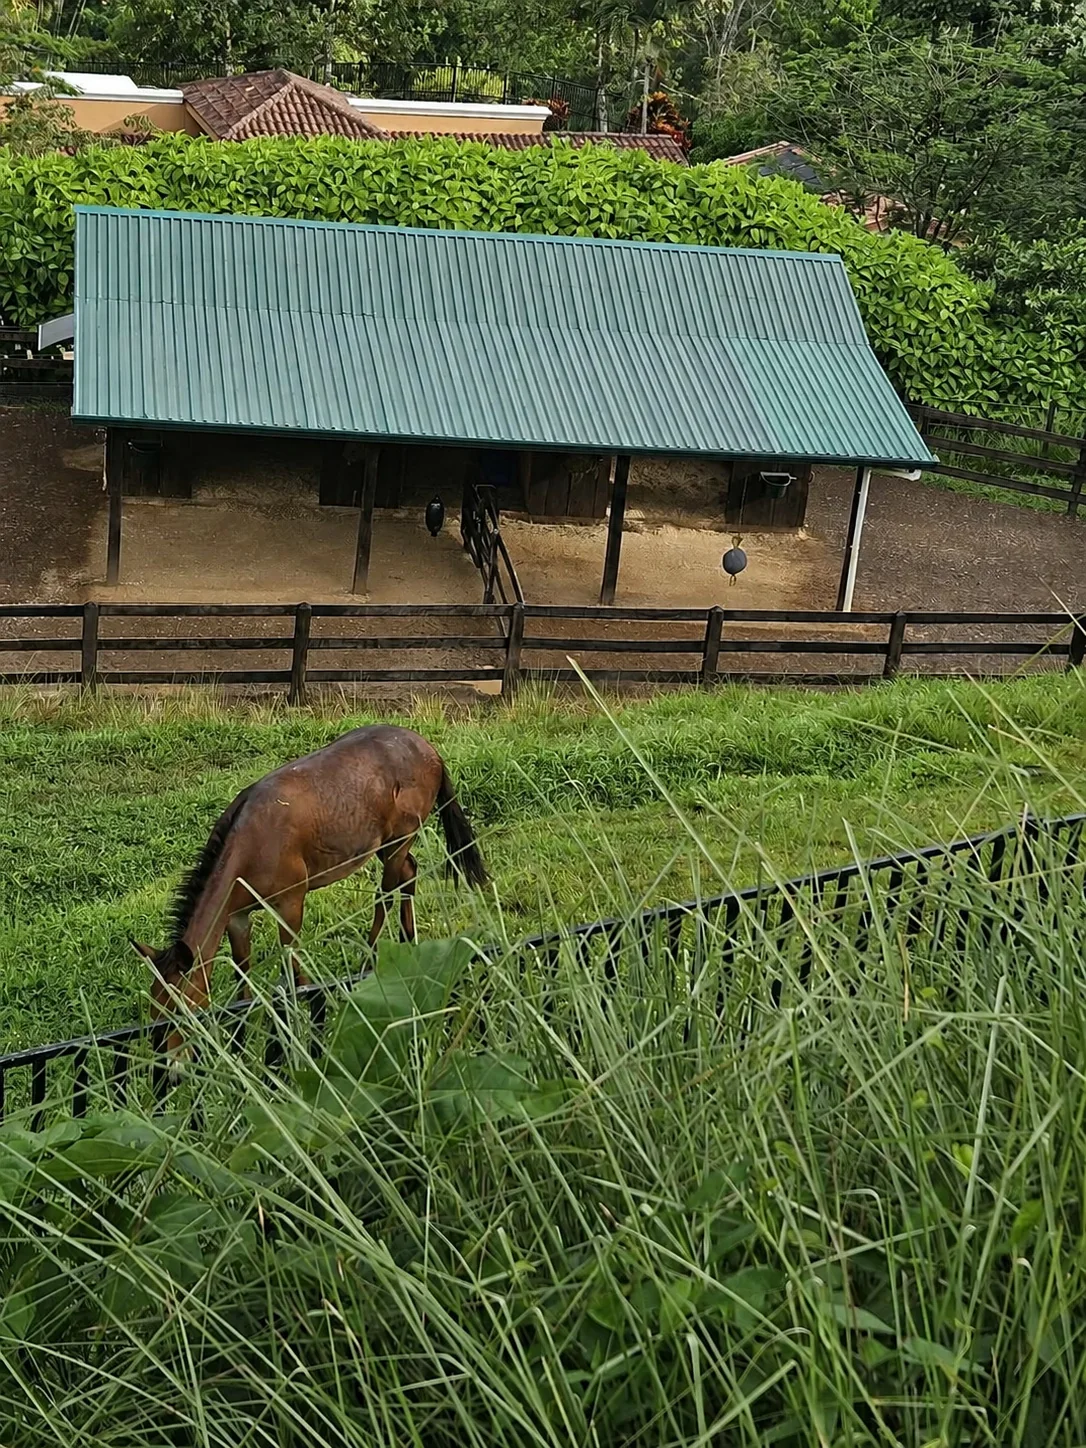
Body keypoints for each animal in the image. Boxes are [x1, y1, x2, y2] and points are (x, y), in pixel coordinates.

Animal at [131, 725, 487, 1038]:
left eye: (179, 1007)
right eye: (153, 1008)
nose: (164, 1062)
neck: (248, 847)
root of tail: (432, 752)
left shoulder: (291, 900)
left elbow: (292, 963)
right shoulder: (236, 915)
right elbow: (242, 971)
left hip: (402, 834)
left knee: (386, 892)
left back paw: (370, 959)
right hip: (387, 844)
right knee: (409, 873)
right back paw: (408, 940)